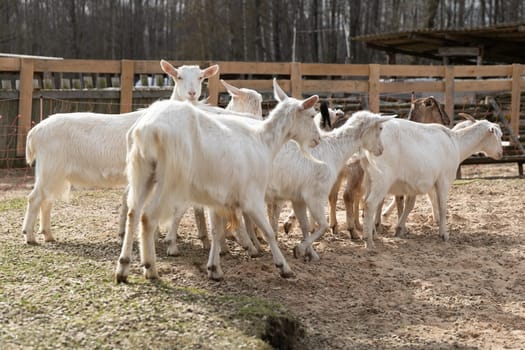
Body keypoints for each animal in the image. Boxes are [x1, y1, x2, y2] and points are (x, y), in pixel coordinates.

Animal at [22, 60, 218, 243]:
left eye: (201, 77)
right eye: (178, 76)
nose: (192, 94)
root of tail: (35, 132)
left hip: (54, 172)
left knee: (46, 200)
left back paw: (47, 234)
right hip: (49, 168)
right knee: (34, 198)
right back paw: (30, 236)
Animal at [115, 79, 320, 282]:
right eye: (311, 115)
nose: (317, 139)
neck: (264, 142)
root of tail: (147, 129)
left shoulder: (218, 198)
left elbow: (216, 231)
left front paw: (214, 268)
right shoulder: (252, 197)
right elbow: (268, 231)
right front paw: (283, 267)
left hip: (142, 172)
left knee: (133, 212)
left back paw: (123, 267)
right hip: (170, 180)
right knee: (147, 217)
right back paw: (150, 267)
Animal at [358, 118, 502, 249]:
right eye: (499, 136)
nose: (501, 153)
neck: (456, 144)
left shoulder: (415, 184)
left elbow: (409, 206)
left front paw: (399, 228)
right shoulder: (443, 180)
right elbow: (442, 207)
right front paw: (443, 234)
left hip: (369, 177)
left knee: (366, 204)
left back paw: (373, 233)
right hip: (382, 177)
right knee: (370, 204)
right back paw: (368, 241)